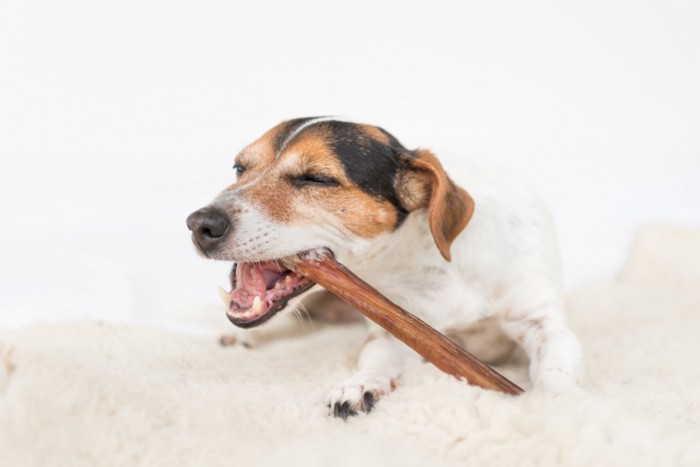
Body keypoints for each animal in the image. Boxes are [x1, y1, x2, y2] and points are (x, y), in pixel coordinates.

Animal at [187, 117, 584, 420]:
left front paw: (559, 404)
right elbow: (377, 357)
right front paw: (361, 383)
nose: (200, 224)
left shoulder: (543, 323)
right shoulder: (393, 329)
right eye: (240, 168)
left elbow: (556, 366)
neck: (434, 261)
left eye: (316, 178)